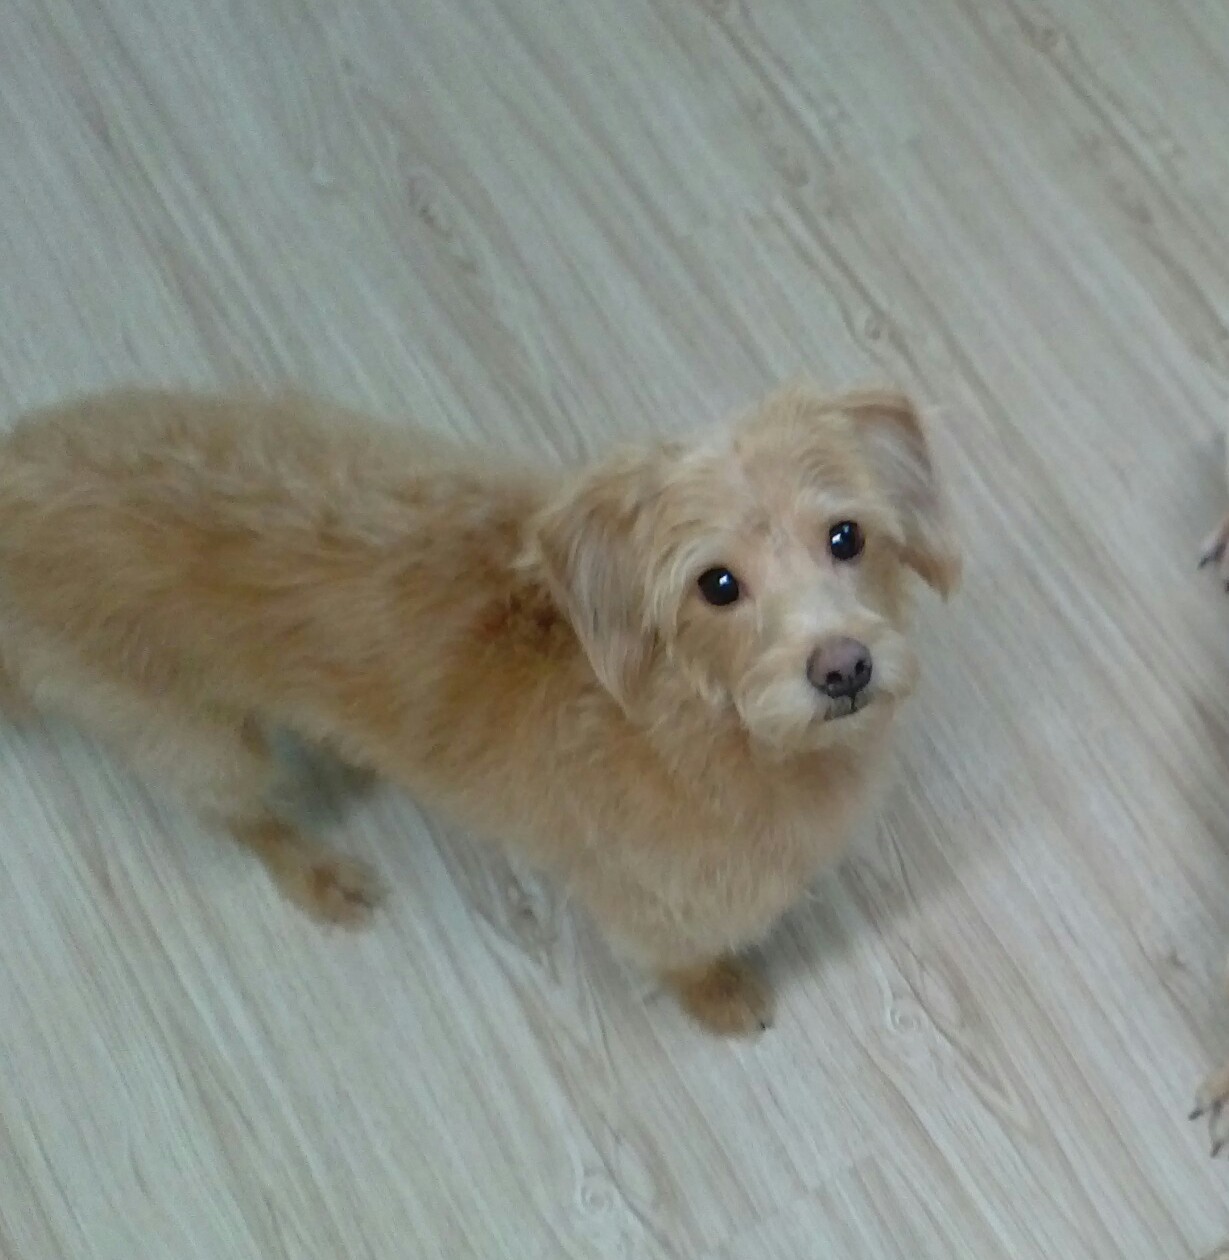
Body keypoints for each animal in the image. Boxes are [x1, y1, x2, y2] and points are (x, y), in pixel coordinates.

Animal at [0, 384, 958, 1033]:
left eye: (846, 536)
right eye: (715, 584)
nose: (843, 668)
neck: (688, 718)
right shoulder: (649, 900)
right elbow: (680, 958)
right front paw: (721, 998)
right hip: (188, 732)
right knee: (243, 818)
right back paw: (319, 874)